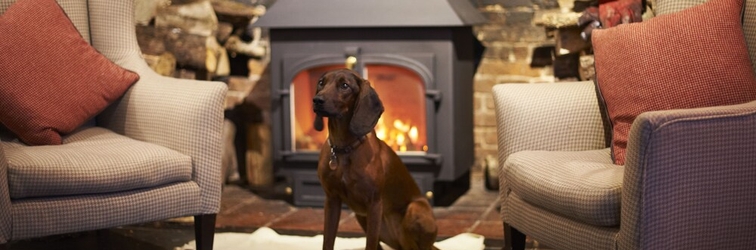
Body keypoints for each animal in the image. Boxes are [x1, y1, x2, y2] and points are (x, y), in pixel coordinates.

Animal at [312, 68, 438, 250]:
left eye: (345, 85)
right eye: (321, 83)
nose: (317, 100)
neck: (343, 148)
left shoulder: (374, 204)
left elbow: (370, 244)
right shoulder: (331, 200)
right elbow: (328, 241)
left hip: (414, 210)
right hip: (362, 217)